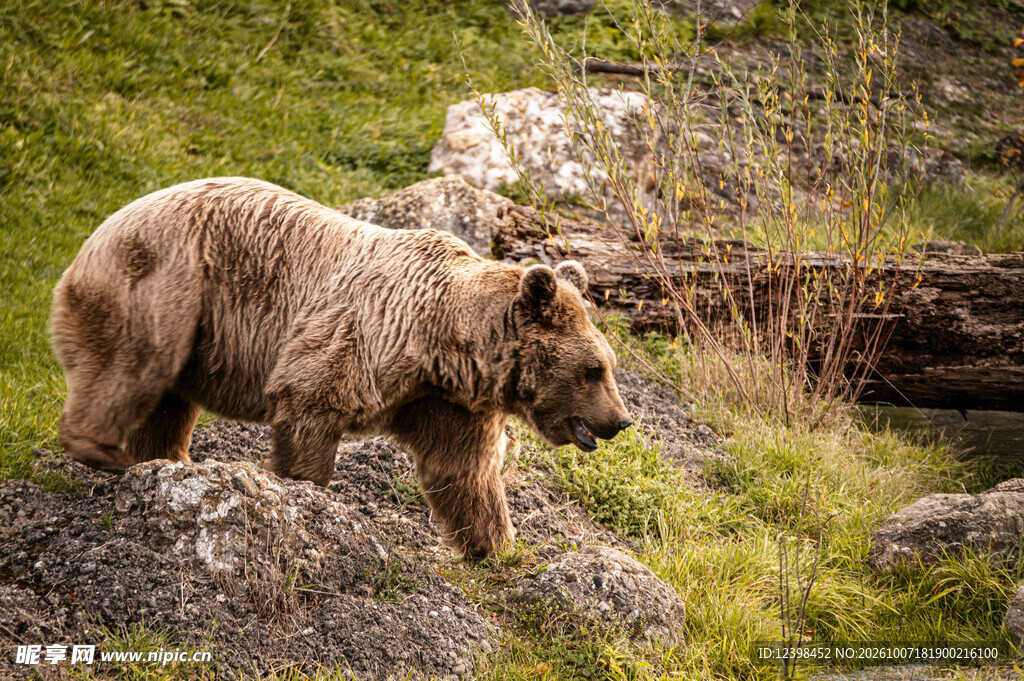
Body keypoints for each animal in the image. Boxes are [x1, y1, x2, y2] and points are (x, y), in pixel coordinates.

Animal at [50, 177, 632, 558]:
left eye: (609, 365)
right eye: (593, 370)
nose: (621, 420)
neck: (444, 343)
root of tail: (102, 228)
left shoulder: (444, 400)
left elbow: (464, 471)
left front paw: (501, 549)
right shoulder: (360, 335)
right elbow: (312, 404)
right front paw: (302, 493)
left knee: (166, 402)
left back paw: (165, 461)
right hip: (168, 282)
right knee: (130, 366)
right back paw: (106, 452)